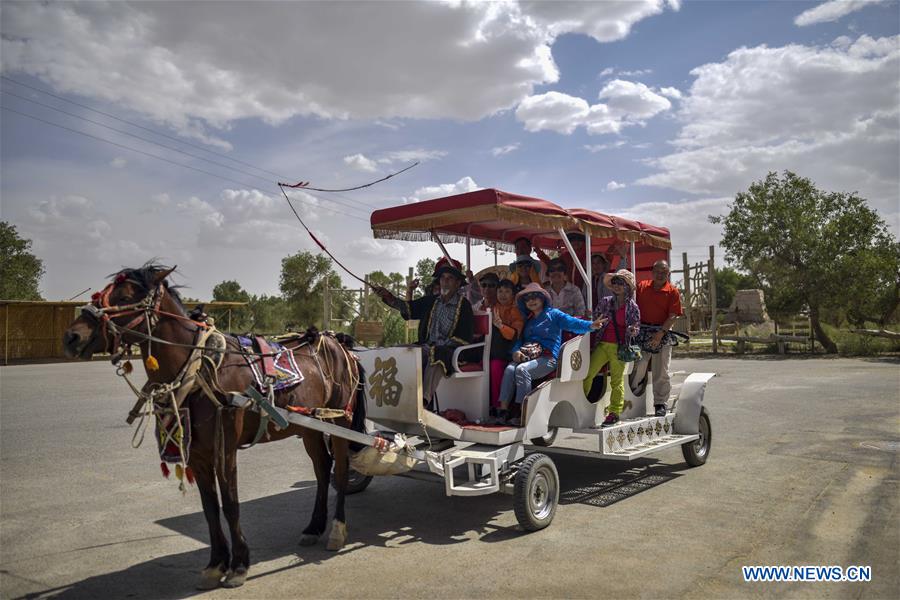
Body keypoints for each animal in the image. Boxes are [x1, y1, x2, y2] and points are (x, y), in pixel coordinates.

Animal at [62, 264, 366, 592]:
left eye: (125, 297)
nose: (71, 336)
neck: (201, 369)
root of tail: (340, 343)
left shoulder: (226, 447)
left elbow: (230, 504)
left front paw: (239, 565)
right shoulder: (197, 452)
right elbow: (210, 508)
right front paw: (215, 564)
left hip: (340, 419)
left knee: (340, 470)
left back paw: (337, 529)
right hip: (311, 425)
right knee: (322, 470)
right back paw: (313, 526)